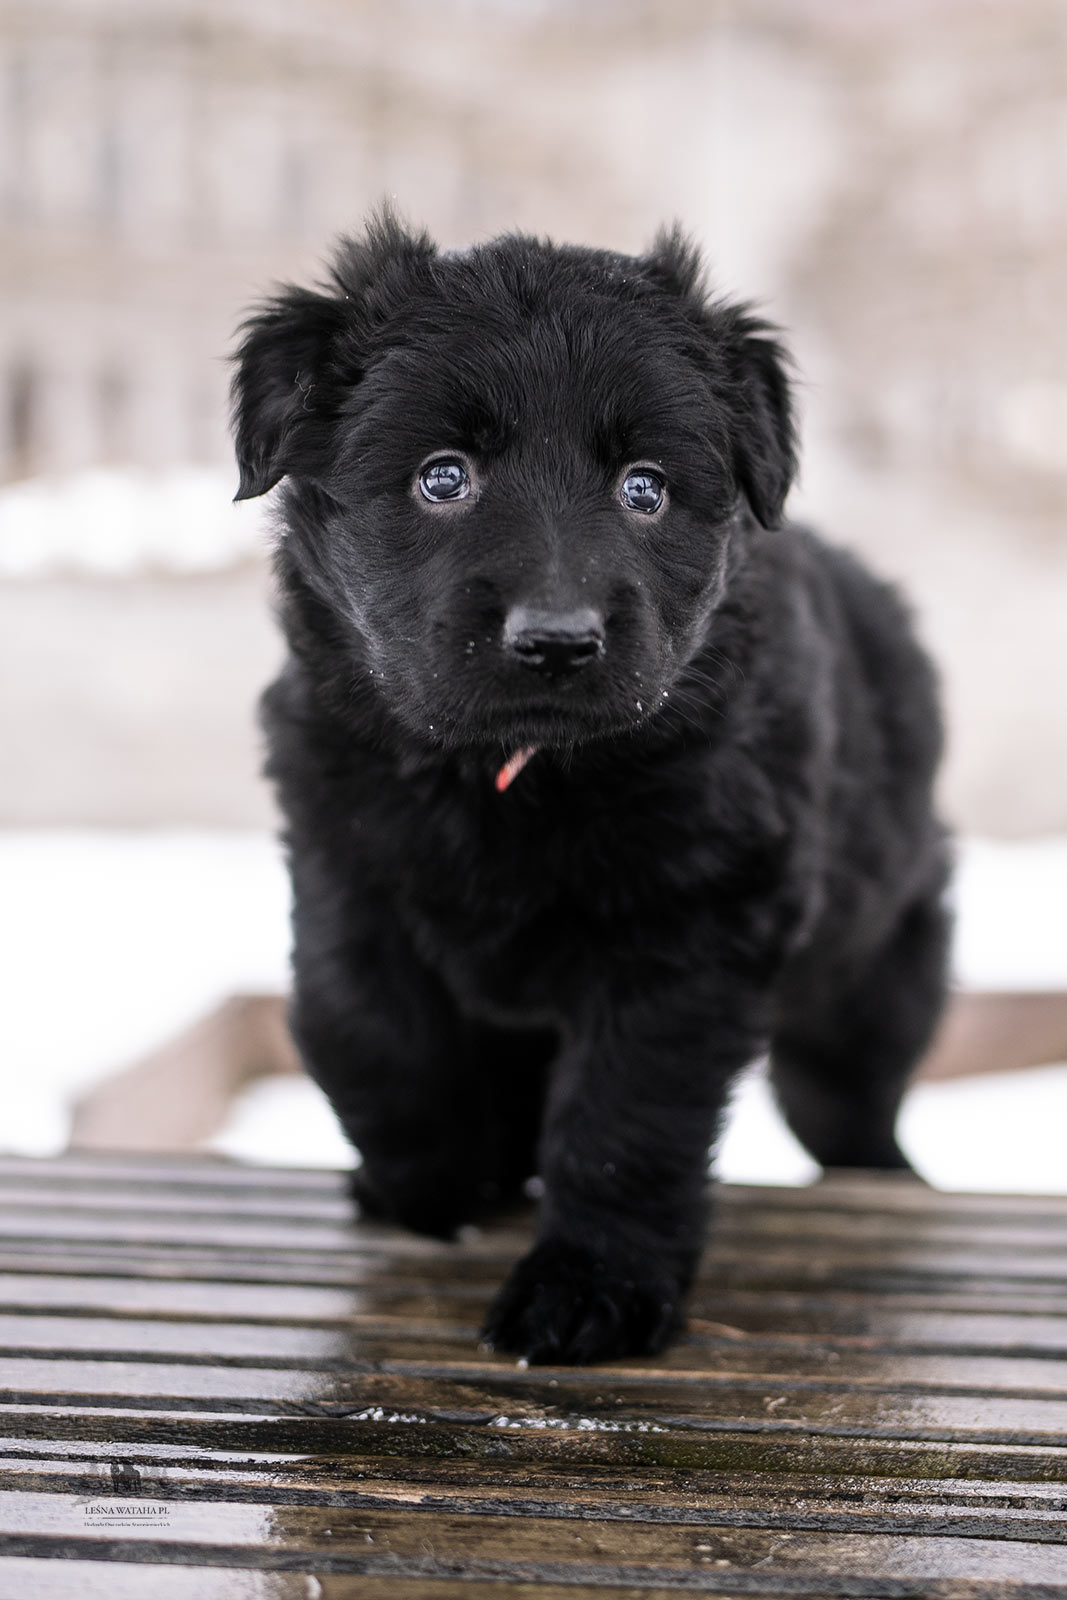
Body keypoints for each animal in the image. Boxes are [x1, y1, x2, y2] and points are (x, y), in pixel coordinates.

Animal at [231, 211, 950, 1365]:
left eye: (643, 487)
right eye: (443, 476)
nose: (557, 640)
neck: (512, 778)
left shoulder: (689, 926)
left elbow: (624, 1116)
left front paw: (588, 1289)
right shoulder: (341, 857)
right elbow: (364, 1026)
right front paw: (424, 1180)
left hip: (874, 968)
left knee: (849, 1101)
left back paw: (890, 1176)